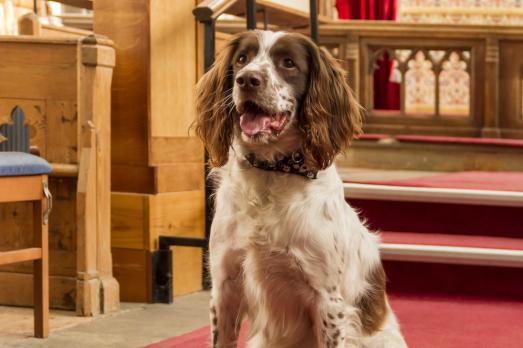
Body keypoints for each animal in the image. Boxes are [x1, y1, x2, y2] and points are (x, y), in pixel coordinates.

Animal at [194, 30, 408, 348]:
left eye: (288, 63)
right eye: (242, 59)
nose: (247, 80)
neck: (272, 173)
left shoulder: (328, 300)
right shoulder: (225, 287)